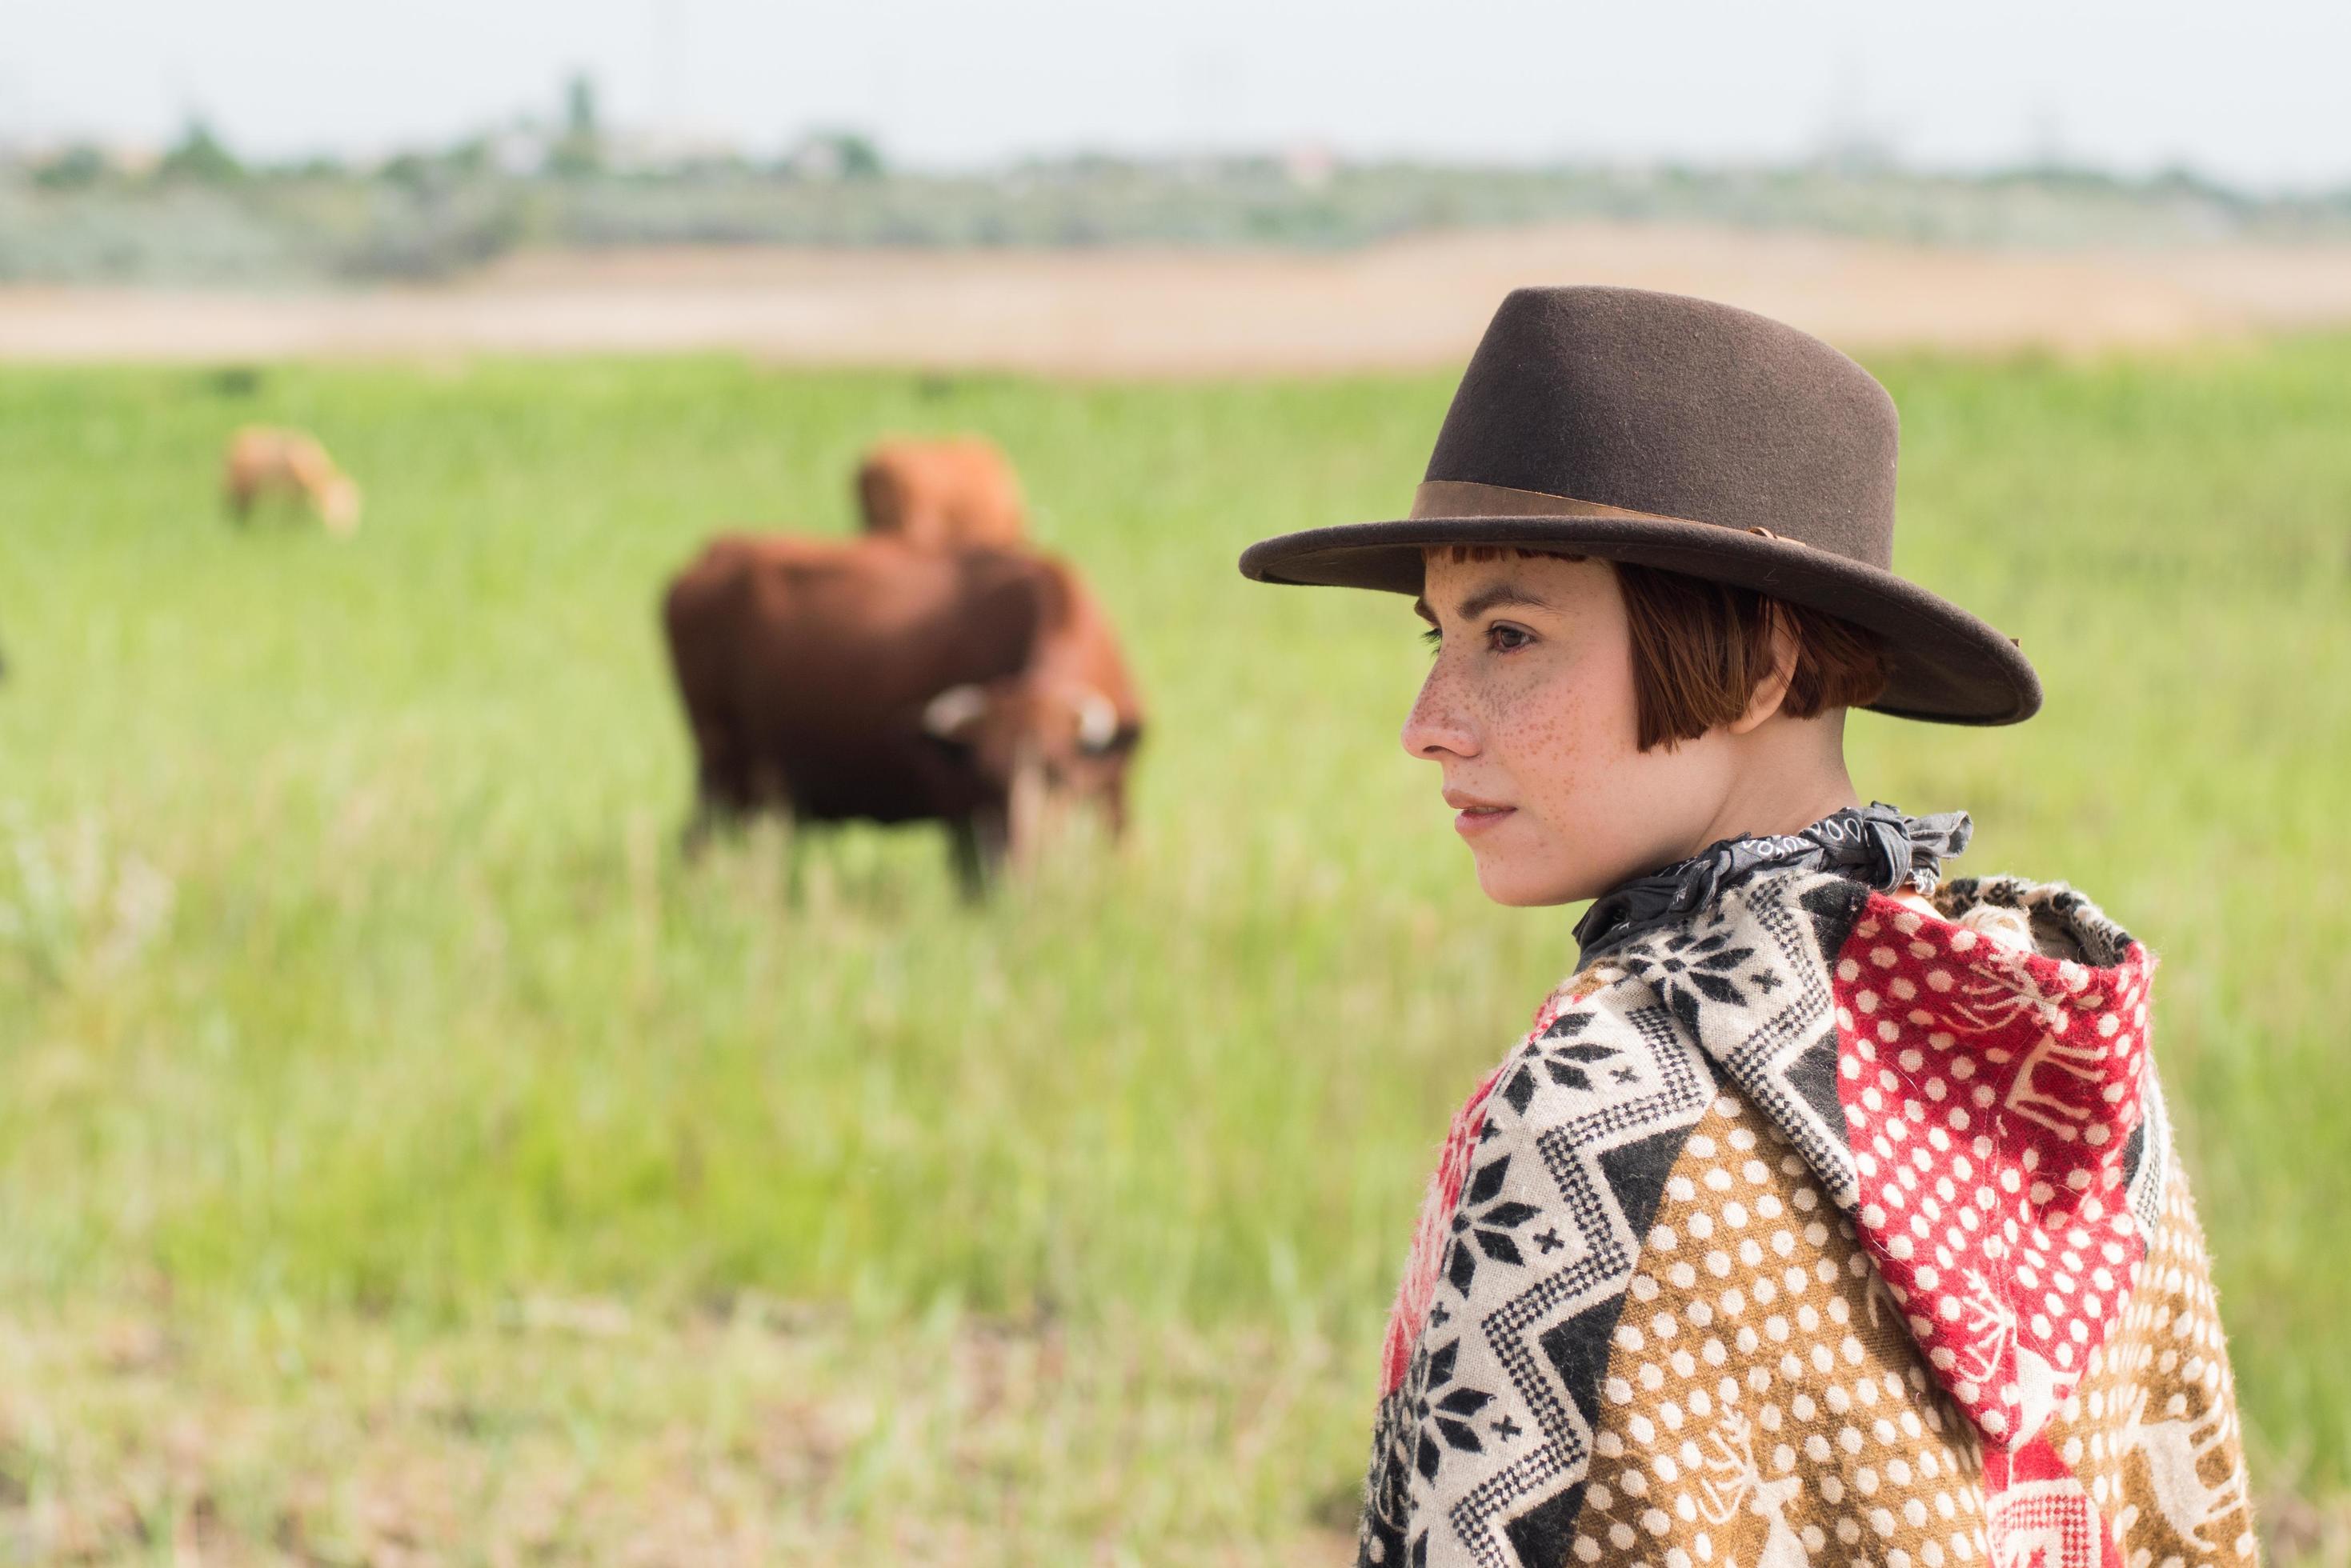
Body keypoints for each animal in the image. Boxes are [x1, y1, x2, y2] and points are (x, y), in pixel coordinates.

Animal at [221, 425, 359, 535]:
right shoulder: (291, 492)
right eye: (329, 511)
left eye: (353, 510)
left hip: (247, 492)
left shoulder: (299, 495)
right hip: (237, 488)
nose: (344, 534)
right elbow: (291, 516)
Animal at [658, 534, 1142, 888]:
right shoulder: (959, 808)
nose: (1019, 858)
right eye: (983, 777)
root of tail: (717, 550)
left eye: (1058, 774)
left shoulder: (1116, 790)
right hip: (725, 770)